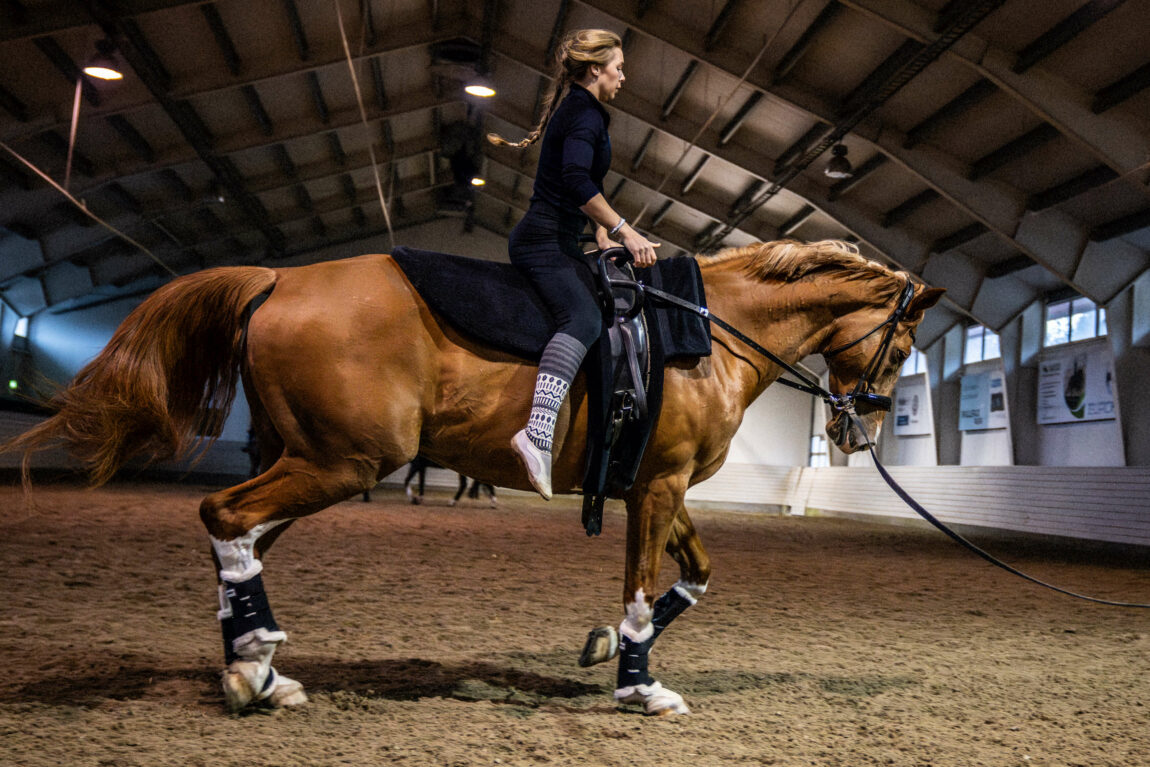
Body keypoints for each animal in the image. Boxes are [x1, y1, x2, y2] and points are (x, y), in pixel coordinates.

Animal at [6, 238, 943, 712]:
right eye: (902, 344)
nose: (857, 427)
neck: (708, 332)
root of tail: (279, 278)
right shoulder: (658, 484)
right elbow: (644, 585)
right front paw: (639, 683)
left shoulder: (657, 485)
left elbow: (696, 575)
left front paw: (609, 646)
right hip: (342, 460)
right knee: (226, 517)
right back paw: (253, 665)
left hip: (310, 459)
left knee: (240, 536)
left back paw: (256, 665)